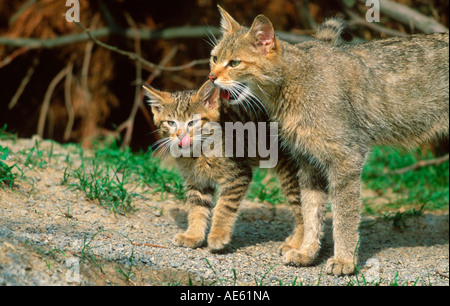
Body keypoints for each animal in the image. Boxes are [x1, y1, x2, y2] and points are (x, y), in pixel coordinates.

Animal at [209, 6, 448, 274]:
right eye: (214, 58)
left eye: (234, 62)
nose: (210, 77)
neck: (294, 83)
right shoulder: (309, 164)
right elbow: (311, 213)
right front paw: (307, 252)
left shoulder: (346, 159)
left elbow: (344, 218)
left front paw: (344, 260)